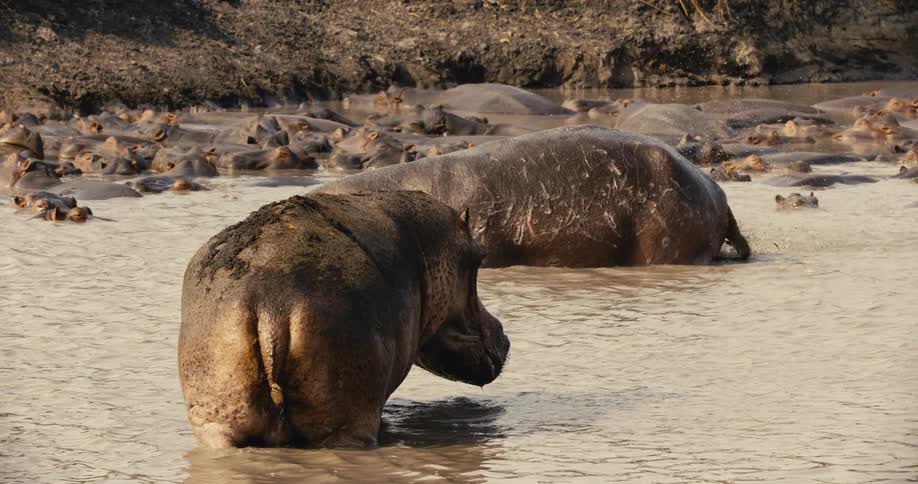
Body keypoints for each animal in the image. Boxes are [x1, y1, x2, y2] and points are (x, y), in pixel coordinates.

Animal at [179, 191, 509, 448]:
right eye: (478, 258)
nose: (505, 336)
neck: (426, 247)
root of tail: (271, 304)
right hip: (347, 425)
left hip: (215, 421)